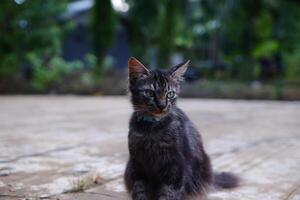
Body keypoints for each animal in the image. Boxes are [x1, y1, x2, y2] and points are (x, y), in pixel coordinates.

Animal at [124, 57, 239, 199]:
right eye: (149, 93)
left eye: (170, 94)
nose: (162, 106)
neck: (152, 128)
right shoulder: (137, 163)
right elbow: (139, 190)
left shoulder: (175, 164)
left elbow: (169, 192)